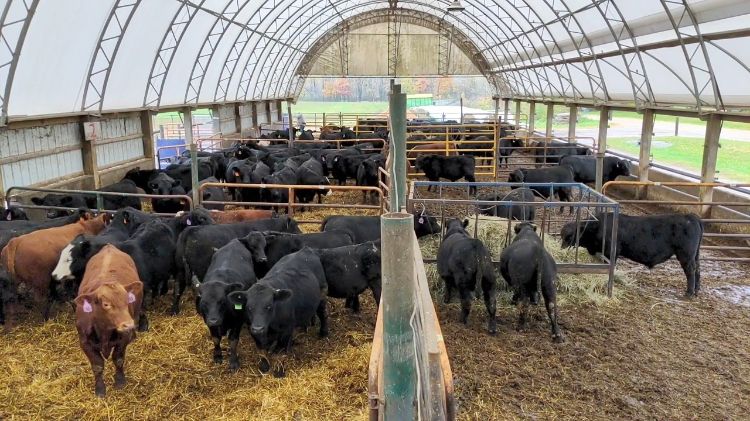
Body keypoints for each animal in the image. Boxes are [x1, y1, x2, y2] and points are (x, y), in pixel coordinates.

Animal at [74, 244, 143, 396]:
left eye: (127, 300)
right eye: (106, 304)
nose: (128, 325)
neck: (104, 330)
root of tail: (109, 247)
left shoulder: (123, 339)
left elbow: (118, 359)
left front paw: (120, 381)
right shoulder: (85, 342)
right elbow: (97, 366)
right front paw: (100, 389)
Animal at [173, 217, 302, 312]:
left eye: (264, 244)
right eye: (294, 225)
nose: (300, 234)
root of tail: (189, 231)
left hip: (180, 271)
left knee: (177, 289)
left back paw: (174, 310)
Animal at [195, 231, 268, 370]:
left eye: (222, 301)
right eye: (204, 302)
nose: (214, 320)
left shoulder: (237, 322)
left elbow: (233, 341)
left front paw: (233, 361)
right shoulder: (208, 322)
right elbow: (216, 339)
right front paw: (217, 355)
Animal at [226, 246, 326, 374]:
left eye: (269, 306)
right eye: (249, 307)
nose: (258, 328)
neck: (270, 326)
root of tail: (306, 249)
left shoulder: (286, 329)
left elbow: (281, 352)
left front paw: (279, 372)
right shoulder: (252, 330)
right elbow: (262, 351)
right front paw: (264, 367)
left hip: (322, 296)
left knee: (323, 313)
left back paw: (324, 332)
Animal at [560, 213, 708, 296]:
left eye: (568, 237)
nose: (561, 249)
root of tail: (690, 217)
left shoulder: (611, 252)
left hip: (685, 255)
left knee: (691, 271)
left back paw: (689, 292)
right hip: (695, 255)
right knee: (698, 269)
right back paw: (696, 290)